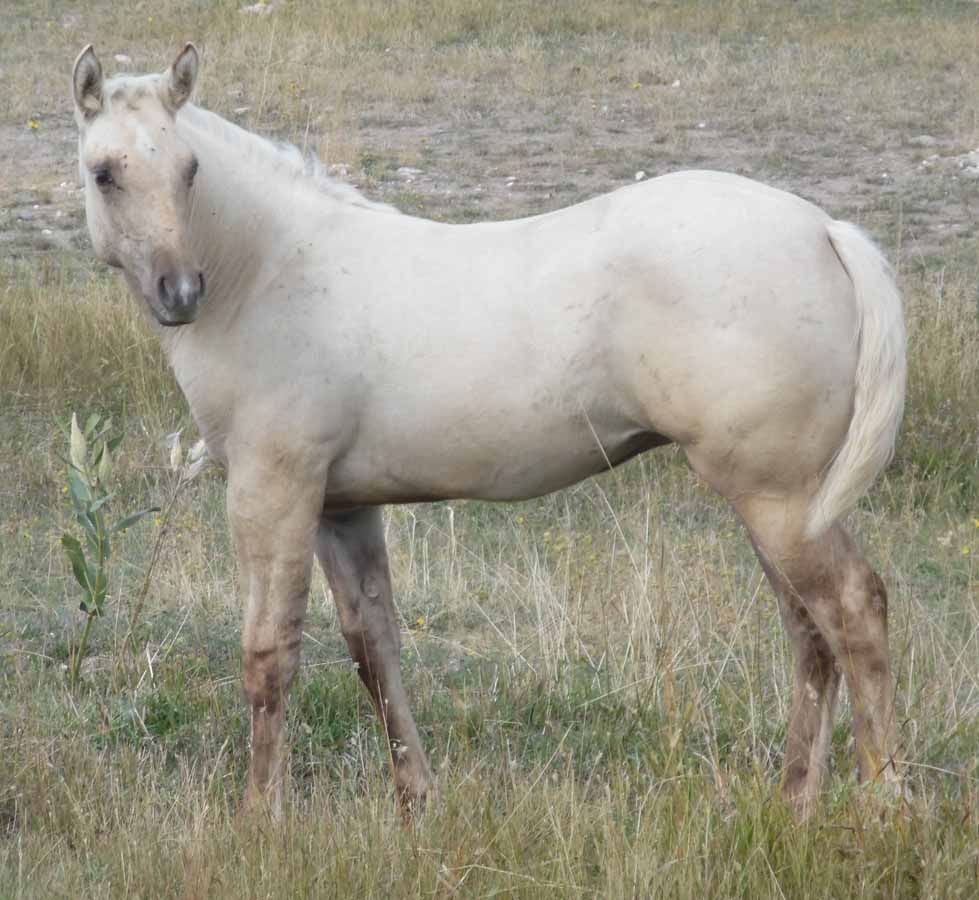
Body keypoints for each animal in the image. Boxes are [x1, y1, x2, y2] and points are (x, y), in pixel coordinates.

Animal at [71, 43, 906, 820]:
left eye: (190, 168)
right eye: (104, 172)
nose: (180, 292)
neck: (271, 272)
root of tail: (823, 229)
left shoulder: (272, 492)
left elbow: (269, 653)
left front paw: (260, 818)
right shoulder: (342, 509)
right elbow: (373, 649)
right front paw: (415, 800)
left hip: (778, 498)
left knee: (853, 612)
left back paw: (885, 804)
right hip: (774, 505)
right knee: (809, 633)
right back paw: (793, 804)